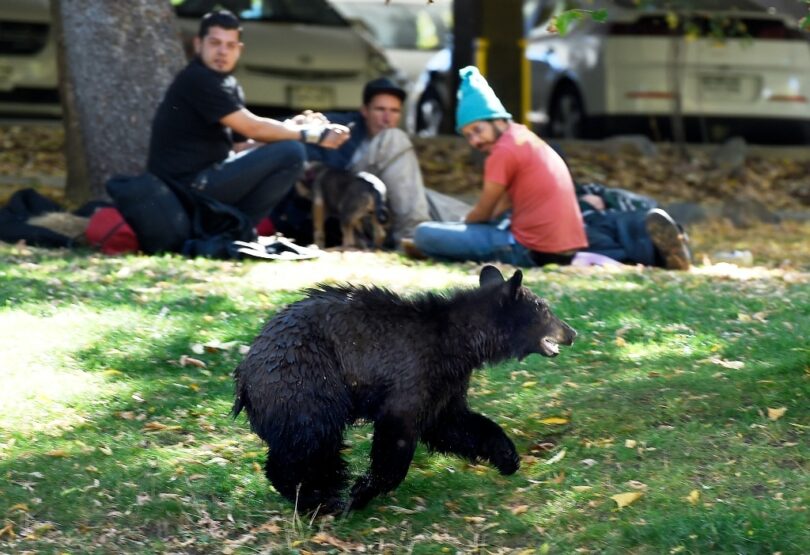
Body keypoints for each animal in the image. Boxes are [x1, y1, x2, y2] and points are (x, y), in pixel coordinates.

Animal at [232, 268, 576, 516]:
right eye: (545, 310)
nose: (572, 332)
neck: (459, 342)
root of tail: (244, 373)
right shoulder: (415, 372)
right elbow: (397, 432)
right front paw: (363, 490)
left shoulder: (446, 383)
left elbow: (454, 423)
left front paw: (507, 457)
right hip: (306, 379)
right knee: (309, 439)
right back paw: (321, 499)